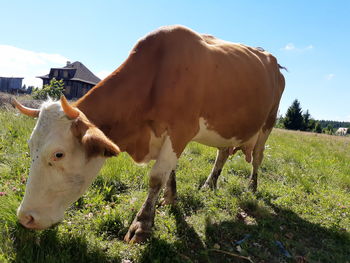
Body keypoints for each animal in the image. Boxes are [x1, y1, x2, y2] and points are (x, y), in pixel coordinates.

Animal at [12, 25, 286, 244]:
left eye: (58, 154)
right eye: (31, 147)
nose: (25, 217)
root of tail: (271, 59)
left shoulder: (180, 130)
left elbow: (156, 177)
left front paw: (142, 225)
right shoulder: (169, 137)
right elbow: (170, 171)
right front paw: (170, 198)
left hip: (268, 124)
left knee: (258, 157)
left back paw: (252, 186)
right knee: (223, 153)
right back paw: (210, 184)